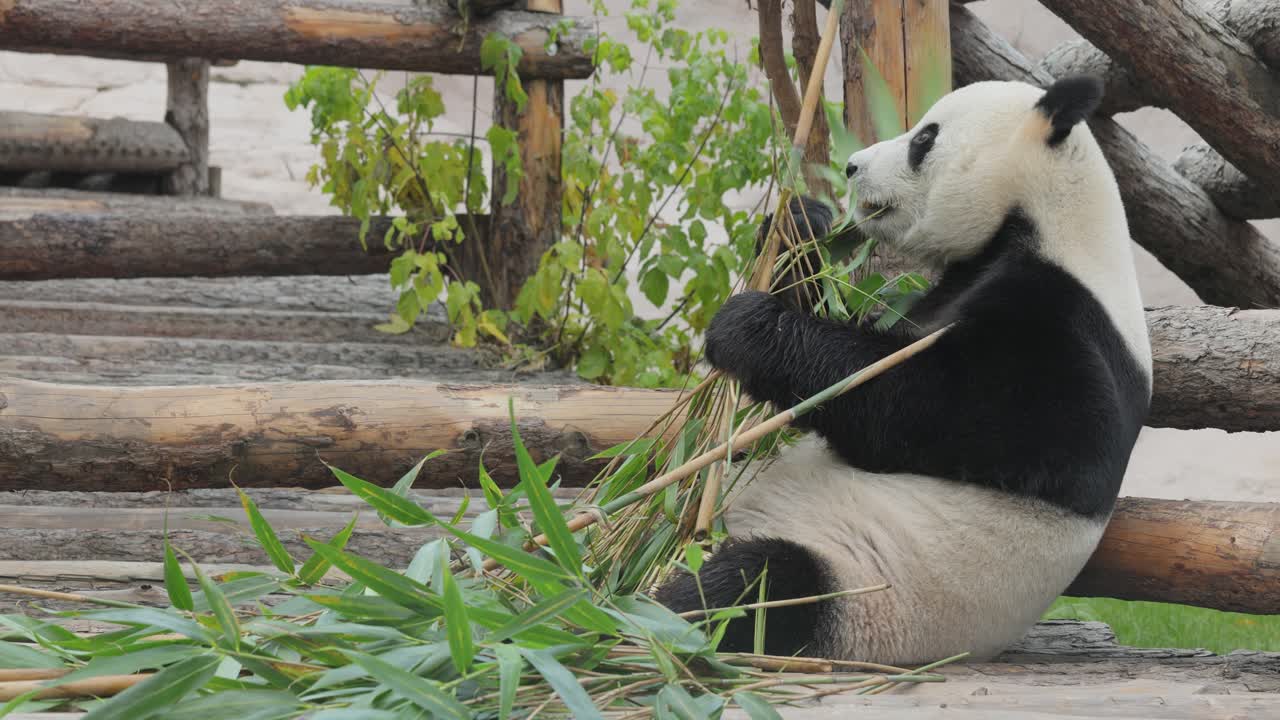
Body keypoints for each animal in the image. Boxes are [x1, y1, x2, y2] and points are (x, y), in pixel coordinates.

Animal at [655, 75, 1153, 665]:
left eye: (924, 139)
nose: (852, 167)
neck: (1055, 224)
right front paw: (800, 225)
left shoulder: (1068, 335)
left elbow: (930, 408)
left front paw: (746, 327)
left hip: (859, 590)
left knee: (755, 584)